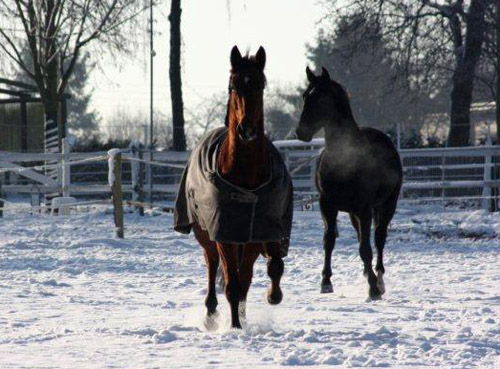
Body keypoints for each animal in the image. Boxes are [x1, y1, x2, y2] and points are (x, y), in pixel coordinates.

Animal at [176, 46, 292, 328]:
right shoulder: (224, 234)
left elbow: (265, 271)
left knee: (245, 277)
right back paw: (211, 315)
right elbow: (232, 284)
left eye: (260, 84)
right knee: (212, 266)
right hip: (206, 236)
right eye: (233, 85)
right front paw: (235, 328)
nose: (246, 129)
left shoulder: (258, 232)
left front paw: (271, 297)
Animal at [296, 66, 402, 300]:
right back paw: (368, 274)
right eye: (305, 95)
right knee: (362, 237)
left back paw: (379, 280)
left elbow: (366, 248)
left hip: (387, 204)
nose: (301, 132)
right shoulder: (327, 205)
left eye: (320, 97)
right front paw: (326, 282)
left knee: (379, 239)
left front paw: (373, 289)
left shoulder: (365, 209)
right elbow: (329, 241)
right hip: (354, 214)